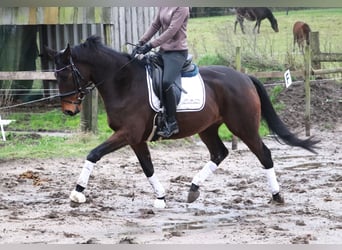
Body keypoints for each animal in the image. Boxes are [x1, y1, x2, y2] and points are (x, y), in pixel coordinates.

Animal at [45, 35, 318, 209]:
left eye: (66, 75)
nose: (68, 110)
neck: (123, 82)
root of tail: (244, 77)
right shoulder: (136, 139)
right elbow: (148, 167)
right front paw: (160, 198)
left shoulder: (127, 134)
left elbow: (94, 154)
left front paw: (77, 193)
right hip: (208, 128)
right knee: (219, 153)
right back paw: (193, 189)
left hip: (244, 127)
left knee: (264, 154)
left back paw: (277, 196)